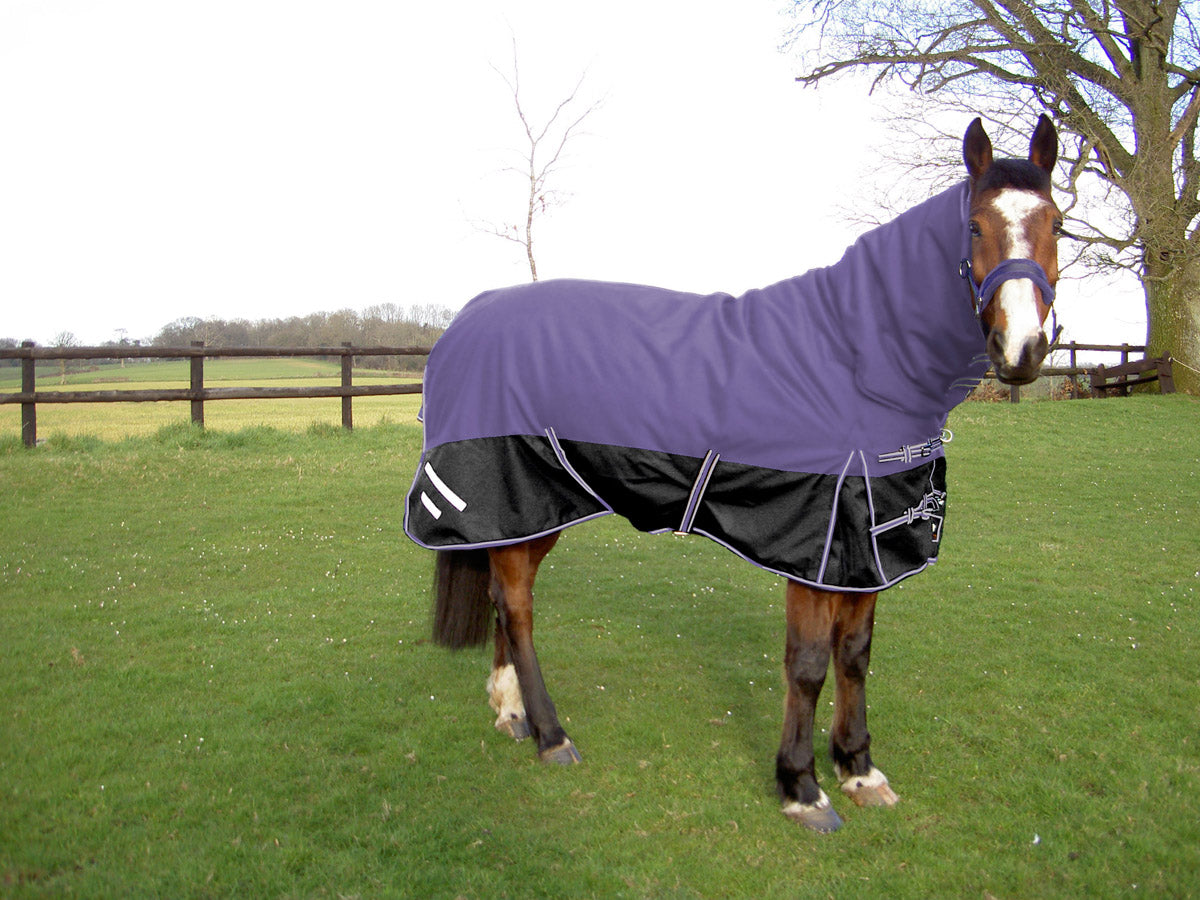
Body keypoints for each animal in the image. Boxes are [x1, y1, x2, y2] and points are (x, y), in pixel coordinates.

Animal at [404, 116, 1062, 833]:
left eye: (1058, 222)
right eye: (974, 226)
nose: (1023, 349)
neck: (854, 359)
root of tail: (467, 319)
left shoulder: (870, 550)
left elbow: (855, 654)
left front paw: (859, 770)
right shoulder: (818, 549)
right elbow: (808, 664)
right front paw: (802, 787)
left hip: (533, 508)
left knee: (505, 597)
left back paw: (511, 710)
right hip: (515, 497)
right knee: (518, 607)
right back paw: (552, 735)